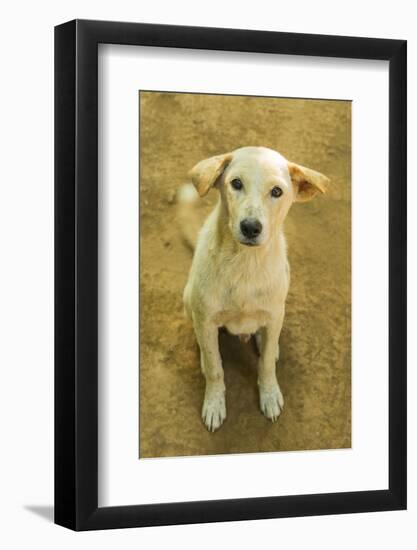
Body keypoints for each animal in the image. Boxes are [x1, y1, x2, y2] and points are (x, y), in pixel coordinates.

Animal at [179, 149, 328, 434]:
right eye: (236, 183)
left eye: (277, 191)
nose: (250, 227)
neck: (245, 264)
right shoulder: (206, 318)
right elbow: (215, 369)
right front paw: (214, 404)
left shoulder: (274, 313)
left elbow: (267, 364)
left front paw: (269, 395)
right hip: (189, 300)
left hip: (277, 312)